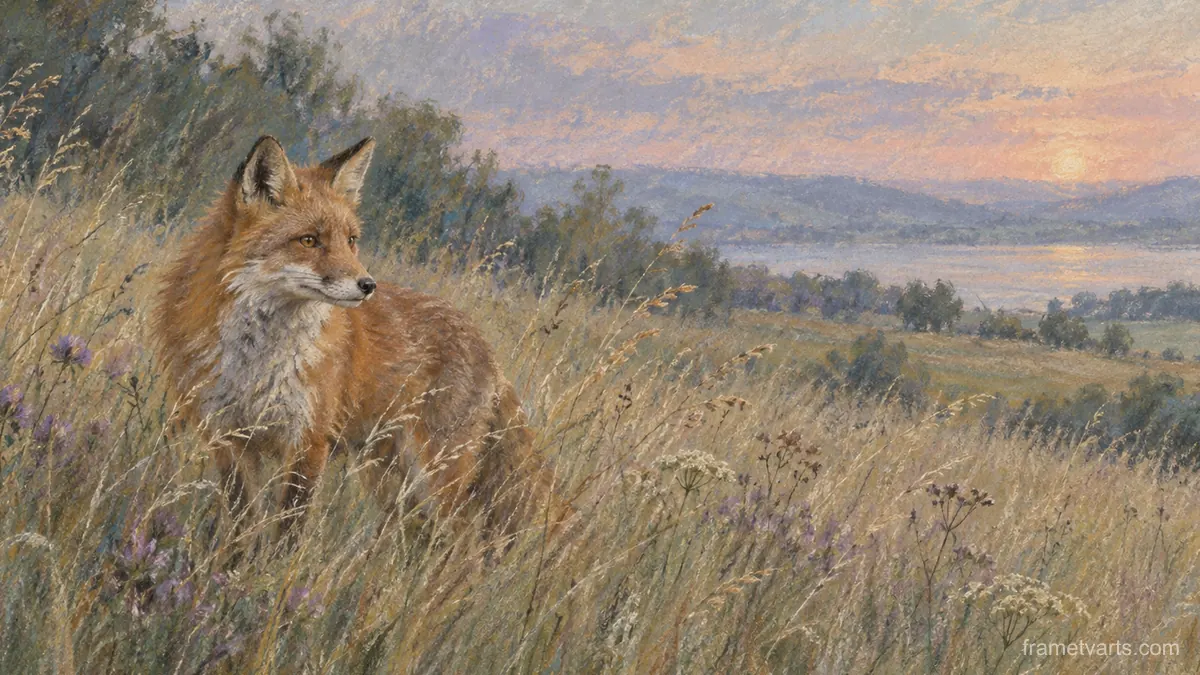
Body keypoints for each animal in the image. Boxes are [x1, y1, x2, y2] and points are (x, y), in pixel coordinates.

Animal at [153, 135, 552, 542]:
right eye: (309, 240)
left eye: (351, 240)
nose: (368, 285)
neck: (257, 359)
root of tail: (485, 345)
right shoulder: (228, 439)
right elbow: (242, 525)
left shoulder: (308, 442)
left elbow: (288, 532)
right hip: (387, 475)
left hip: (434, 475)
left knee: (463, 541)